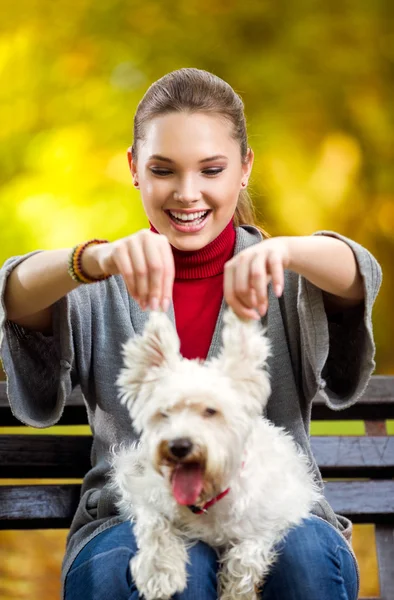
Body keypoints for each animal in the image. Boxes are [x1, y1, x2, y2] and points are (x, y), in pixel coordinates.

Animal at [109, 308, 322, 596]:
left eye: (211, 410)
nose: (179, 445)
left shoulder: (269, 522)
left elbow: (244, 560)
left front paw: (236, 594)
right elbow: (155, 526)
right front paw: (159, 574)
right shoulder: (146, 495)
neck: (206, 499)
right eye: (164, 412)